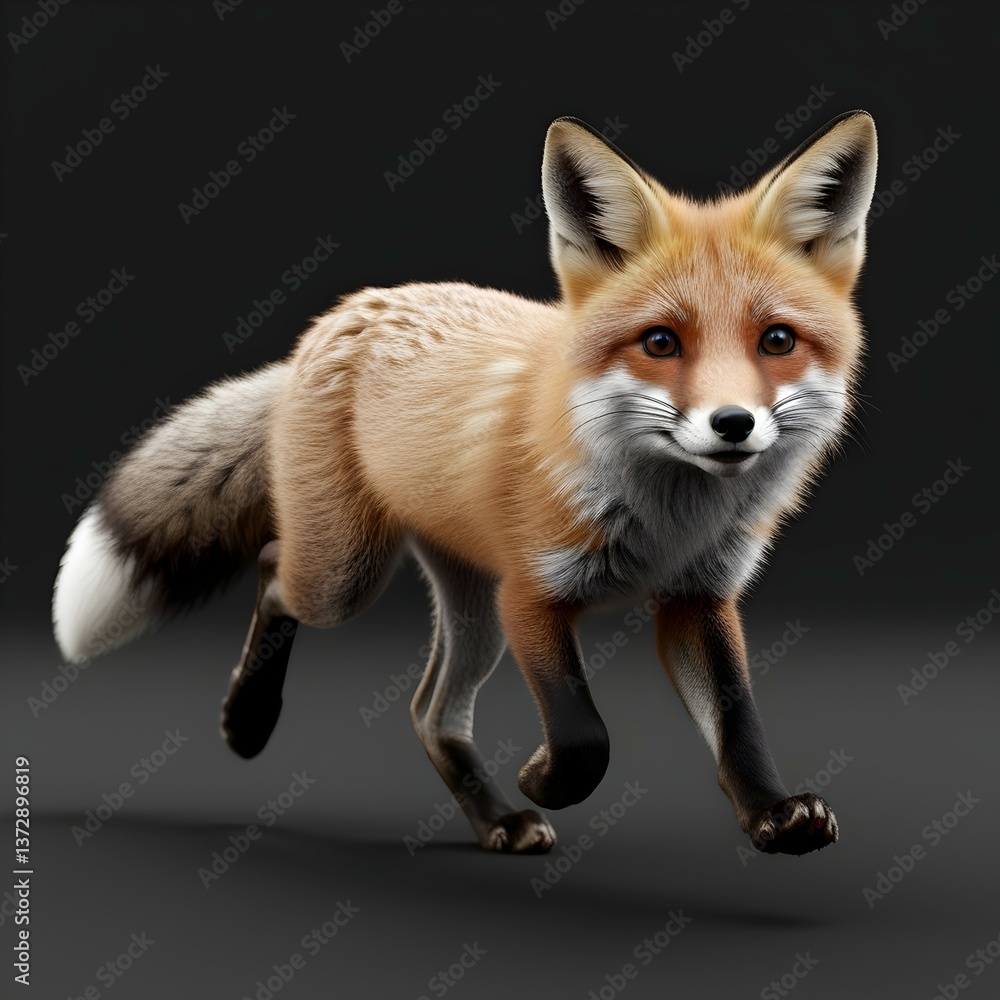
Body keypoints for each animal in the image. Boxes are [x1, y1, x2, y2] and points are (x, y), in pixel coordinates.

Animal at [53, 111, 877, 856]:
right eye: (660, 343)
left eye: (776, 340)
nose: (733, 424)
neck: (669, 519)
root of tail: (340, 317)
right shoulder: (533, 594)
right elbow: (585, 737)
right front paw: (545, 778)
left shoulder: (696, 599)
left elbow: (738, 726)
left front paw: (773, 815)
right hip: (350, 577)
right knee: (273, 571)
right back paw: (248, 719)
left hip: (470, 607)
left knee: (430, 711)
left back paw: (496, 823)